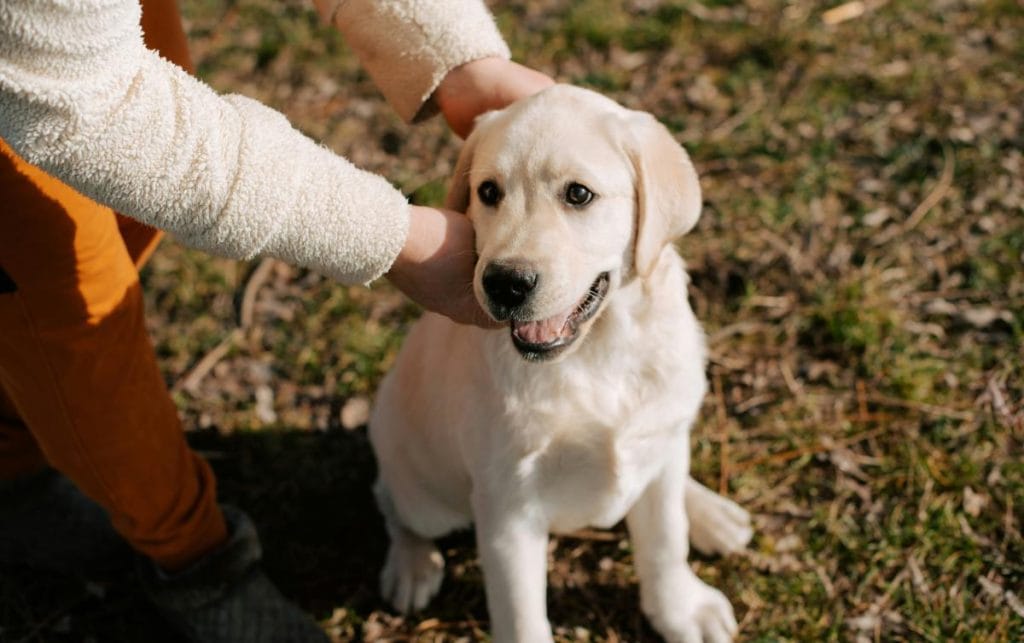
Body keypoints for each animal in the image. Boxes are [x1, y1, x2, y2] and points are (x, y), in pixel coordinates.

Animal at [368, 85, 753, 643]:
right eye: (488, 192)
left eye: (578, 195)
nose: (505, 283)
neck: (596, 352)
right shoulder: (508, 506)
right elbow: (521, 615)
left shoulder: (656, 438)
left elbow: (665, 539)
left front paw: (681, 609)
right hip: (418, 483)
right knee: (392, 501)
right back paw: (412, 564)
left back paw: (709, 512)